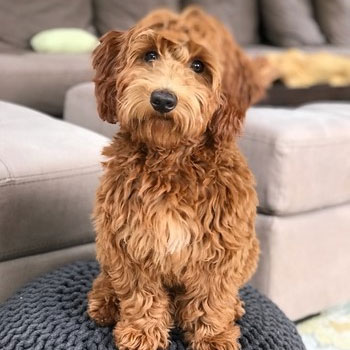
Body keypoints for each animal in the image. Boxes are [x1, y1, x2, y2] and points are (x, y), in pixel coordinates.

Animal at [88, 5, 266, 350]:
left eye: (198, 66)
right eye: (149, 55)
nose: (163, 99)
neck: (170, 161)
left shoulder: (222, 250)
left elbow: (211, 298)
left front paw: (213, 337)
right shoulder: (130, 241)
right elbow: (141, 294)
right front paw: (142, 333)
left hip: (250, 251)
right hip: (106, 243)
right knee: (109, 278)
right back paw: (105, 300)